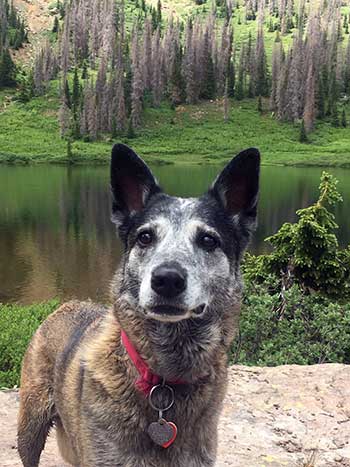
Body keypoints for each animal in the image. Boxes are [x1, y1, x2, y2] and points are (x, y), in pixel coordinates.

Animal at [17, 144, 260, 467]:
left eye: (208, 240)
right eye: (145, 236)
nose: (167, 279)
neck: (164, 377)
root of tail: (64, 305)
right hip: (31, 425)